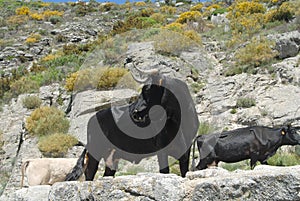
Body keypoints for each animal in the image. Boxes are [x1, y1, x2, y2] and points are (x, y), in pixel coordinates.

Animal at [66, 74, 199, 180]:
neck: (177, 118)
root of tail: (94, 117)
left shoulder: (186, 149)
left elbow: (184, 172)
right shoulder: (161, 148)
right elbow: (164, 171)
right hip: (95, 150)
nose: (135, 111)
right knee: (89, 173)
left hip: (112, 156)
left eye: (148, 89)